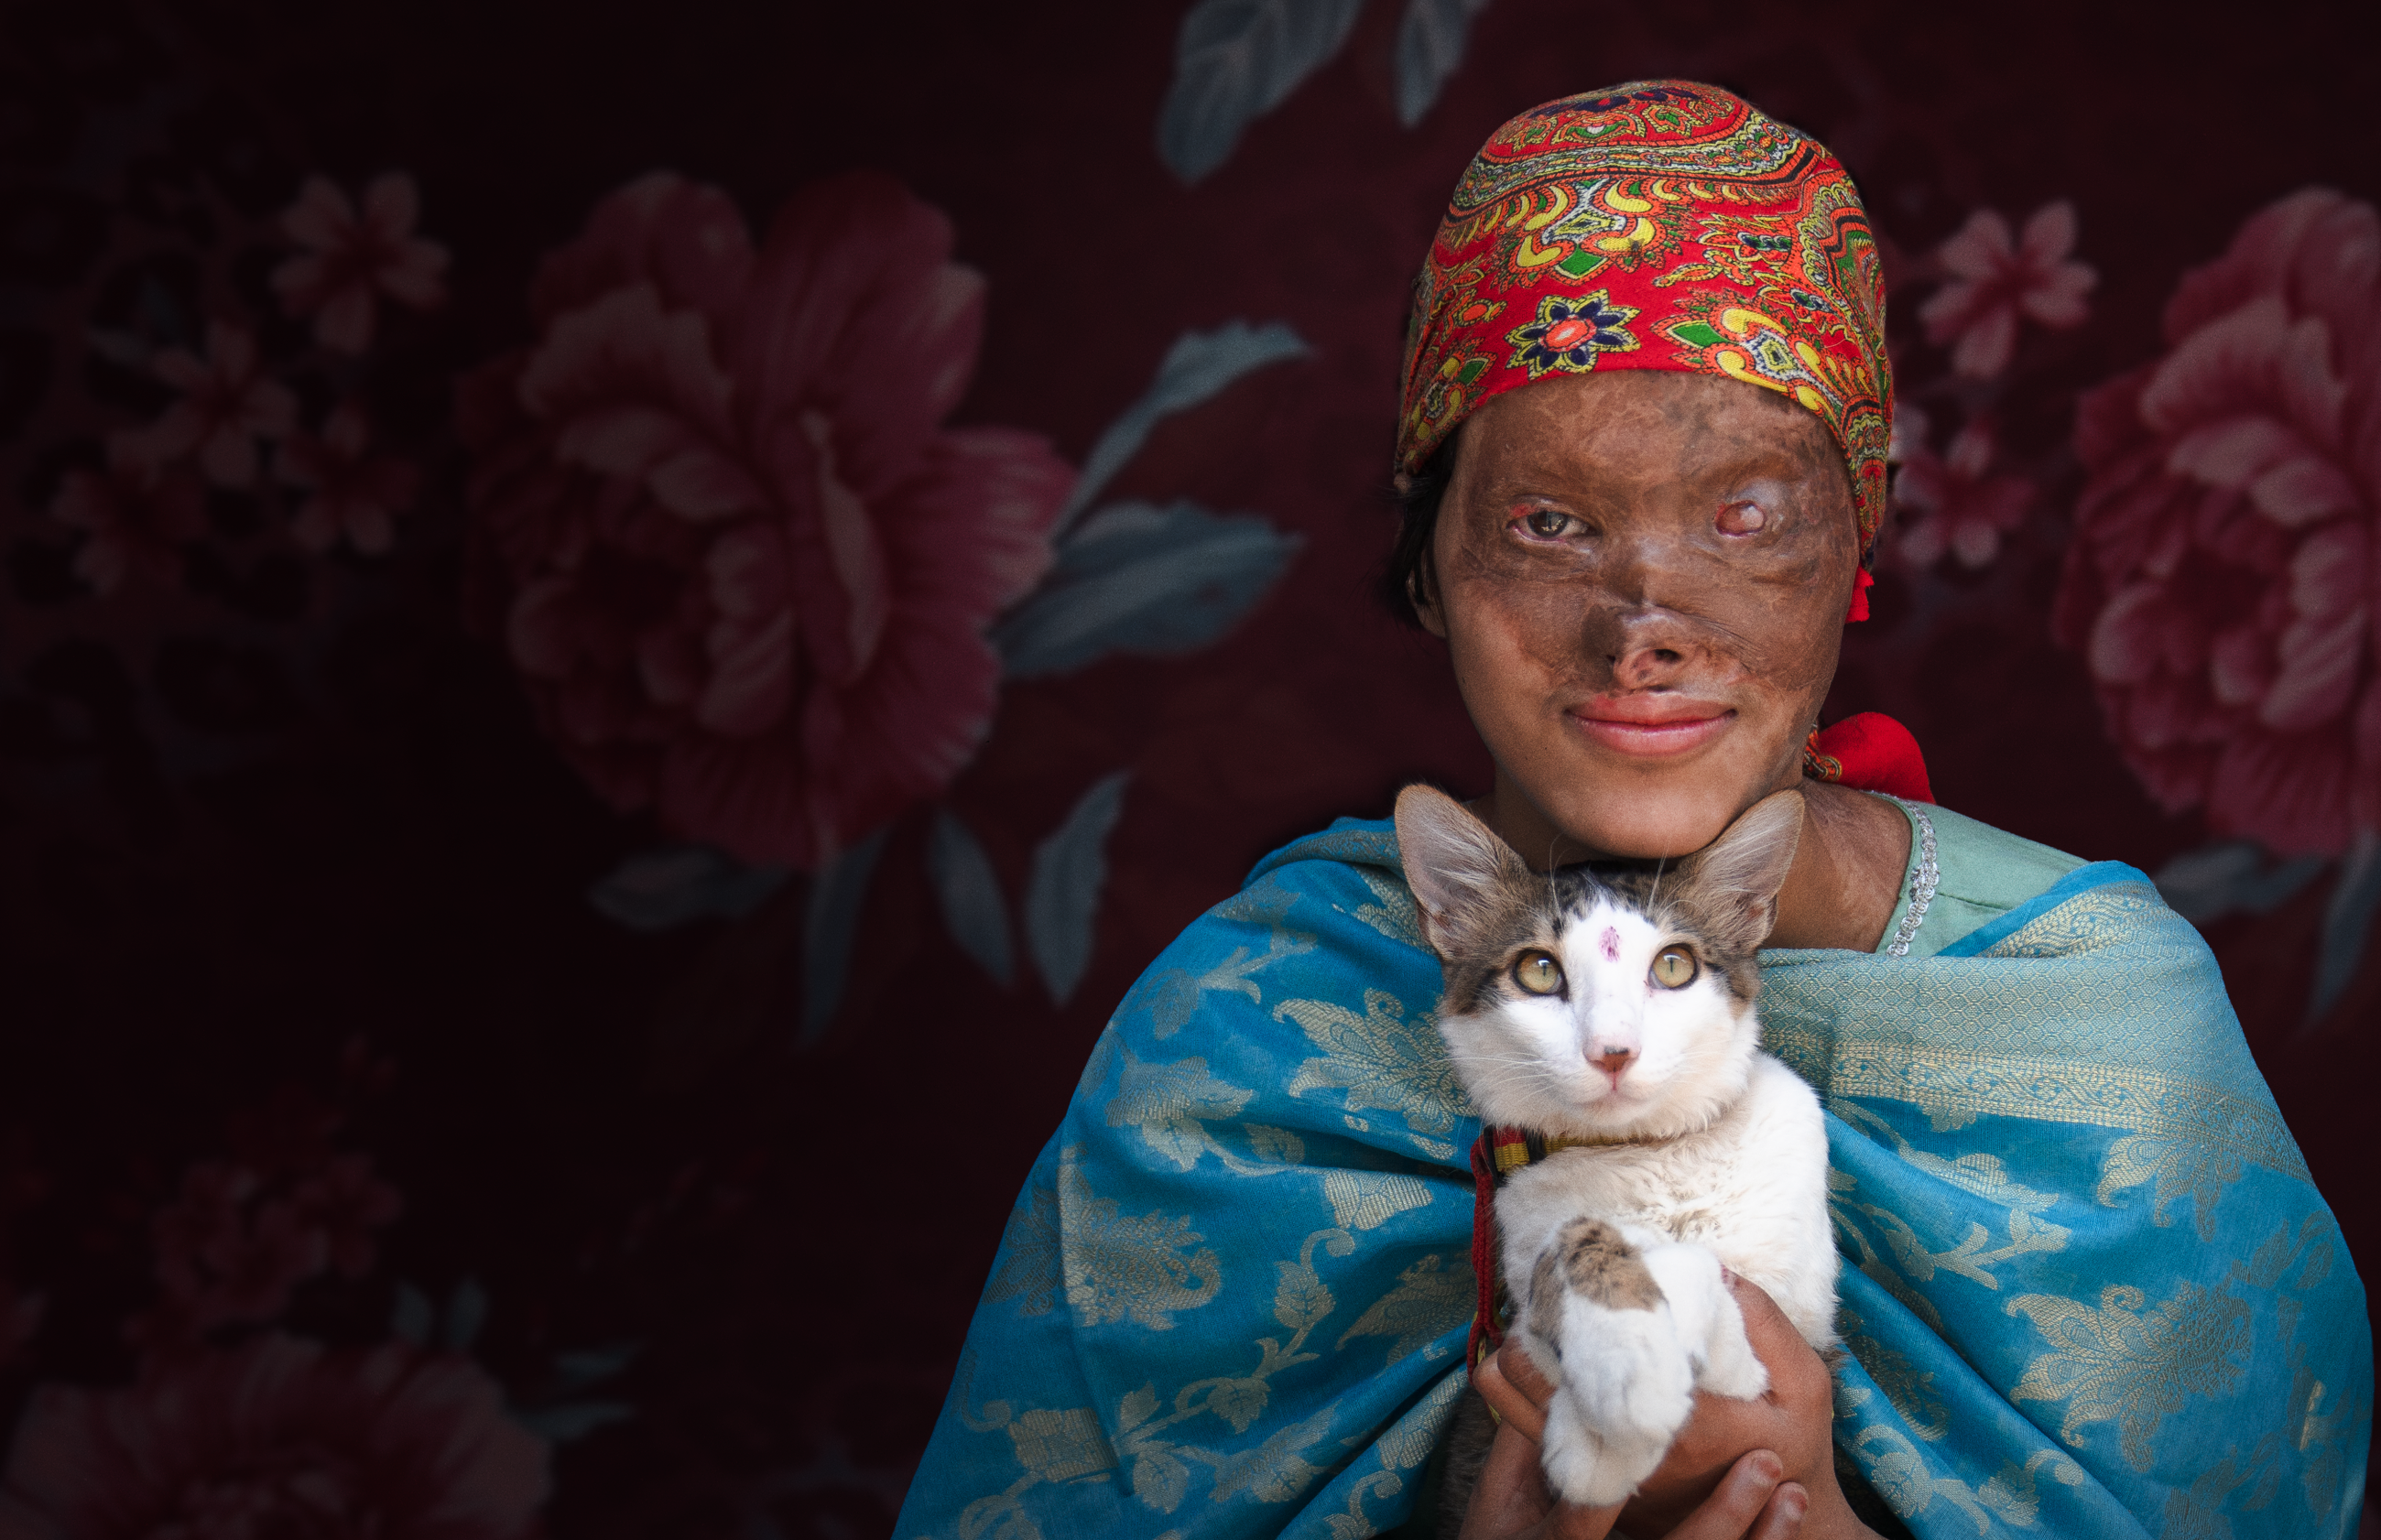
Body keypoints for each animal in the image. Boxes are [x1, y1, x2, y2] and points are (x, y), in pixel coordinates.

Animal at [1390, 790, 1838, 1523]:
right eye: (1538, 970)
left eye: (1674, 966)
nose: (1613, 1052)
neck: (1646, 1153)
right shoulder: (1518, 1283)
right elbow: (1572, 1249)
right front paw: (1618, 1368)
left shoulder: (1800, 1341)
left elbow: (1718, 1296)